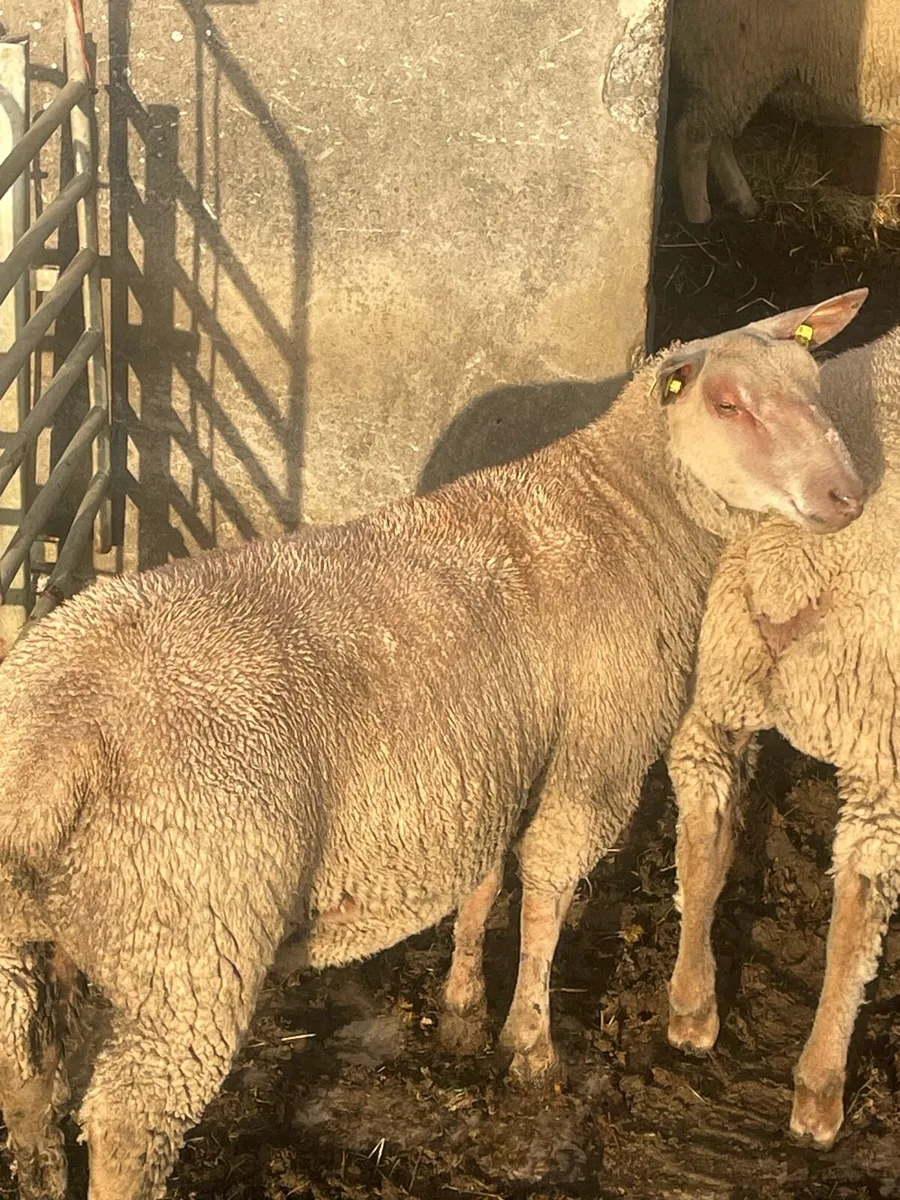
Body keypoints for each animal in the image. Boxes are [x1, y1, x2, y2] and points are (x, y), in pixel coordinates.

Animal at [0, 290, 868, 1200]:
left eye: (814, 382)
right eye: (730, 405)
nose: (848, 495)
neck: (625, 510)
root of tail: (46, 751)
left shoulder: (489, 757)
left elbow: (484, 880)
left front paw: (460, 1003)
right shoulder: (593, 756)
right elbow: (548, 885)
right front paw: (529, 1046)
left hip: (35, 940)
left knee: (25, 1075)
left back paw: (36, 1169)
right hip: (189, 944)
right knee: (128, 1122)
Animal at [665, 319, 900, 1149]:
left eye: (816, 381)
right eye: (727, 403)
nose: (845, 495)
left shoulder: (882, 771)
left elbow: (854, 924)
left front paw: (820, 1090)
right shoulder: (720, 701)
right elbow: (702, 849)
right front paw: (691, 1006)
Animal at [671, 0, 900, 223]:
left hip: (729, 77)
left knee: (718, 138)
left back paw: (744, 201)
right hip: (728, 65)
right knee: (692, 138)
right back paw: (700, 217)